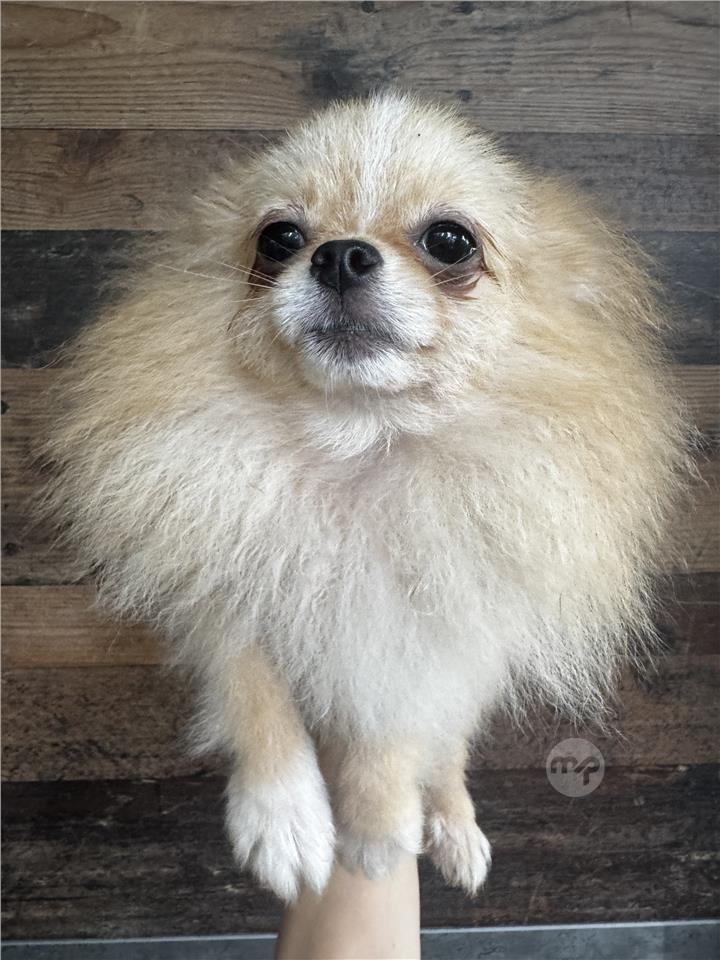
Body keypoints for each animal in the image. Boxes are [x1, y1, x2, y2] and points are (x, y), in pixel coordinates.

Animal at [45, 93, 689, 901]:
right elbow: (253, 687)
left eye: (450, 241)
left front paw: (378, 832)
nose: (341, 253)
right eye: (279, 238)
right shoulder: (221, 575)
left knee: (448, 749)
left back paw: (452, 826)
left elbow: (392, 745)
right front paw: (285, 814)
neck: (356, 446)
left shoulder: (416, 640)